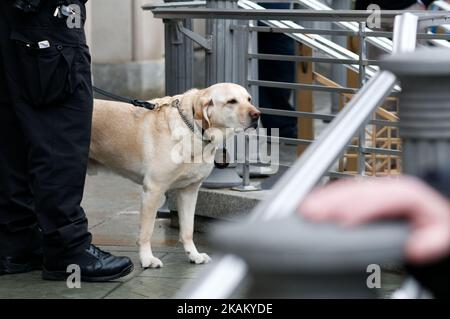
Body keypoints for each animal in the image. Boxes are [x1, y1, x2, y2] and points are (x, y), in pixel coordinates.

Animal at [89, 84, 260, 268]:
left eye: (249, 99)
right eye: (232, 101)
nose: (257, 114)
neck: (193, 130)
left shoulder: (189, 191)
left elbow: (188, 230)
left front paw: (194, 255)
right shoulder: (153, 189)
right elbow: (146, 231)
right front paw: (147, 258)